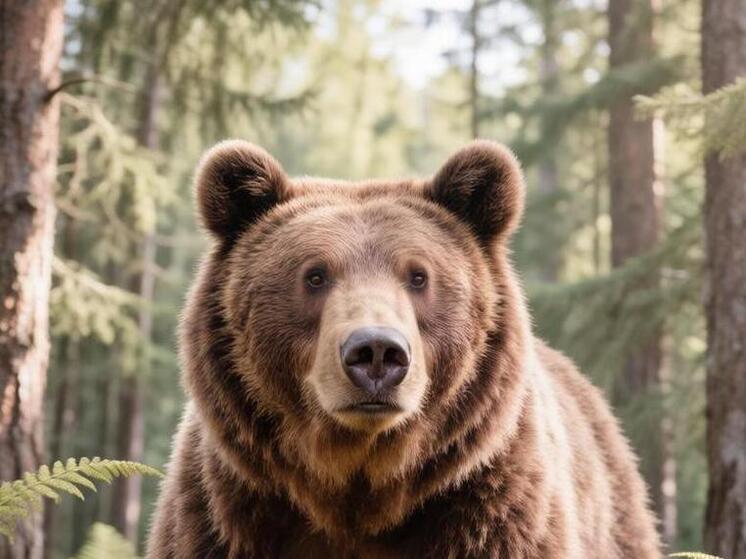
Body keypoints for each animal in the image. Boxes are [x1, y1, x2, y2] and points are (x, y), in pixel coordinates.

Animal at [146, 140, 662, 559]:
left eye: (418, 276)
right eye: (314, 275)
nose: (376, 351)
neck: (359, 491)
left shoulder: (493, 514)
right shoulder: (225, 518)